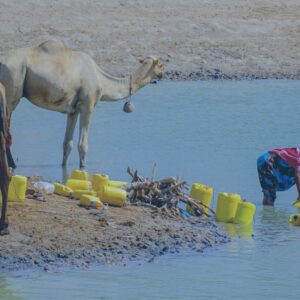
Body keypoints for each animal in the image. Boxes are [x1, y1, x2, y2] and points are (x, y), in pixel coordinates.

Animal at [0, 39, 164, 169]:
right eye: (161, 64)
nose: (163, 74)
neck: (101, 79)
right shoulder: (88, 105)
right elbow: (83, 145)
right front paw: (83, 169)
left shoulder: (74, 109)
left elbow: (67, 143)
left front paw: (64, 168)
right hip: (12, 93)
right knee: (7, 131)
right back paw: (12, 166)